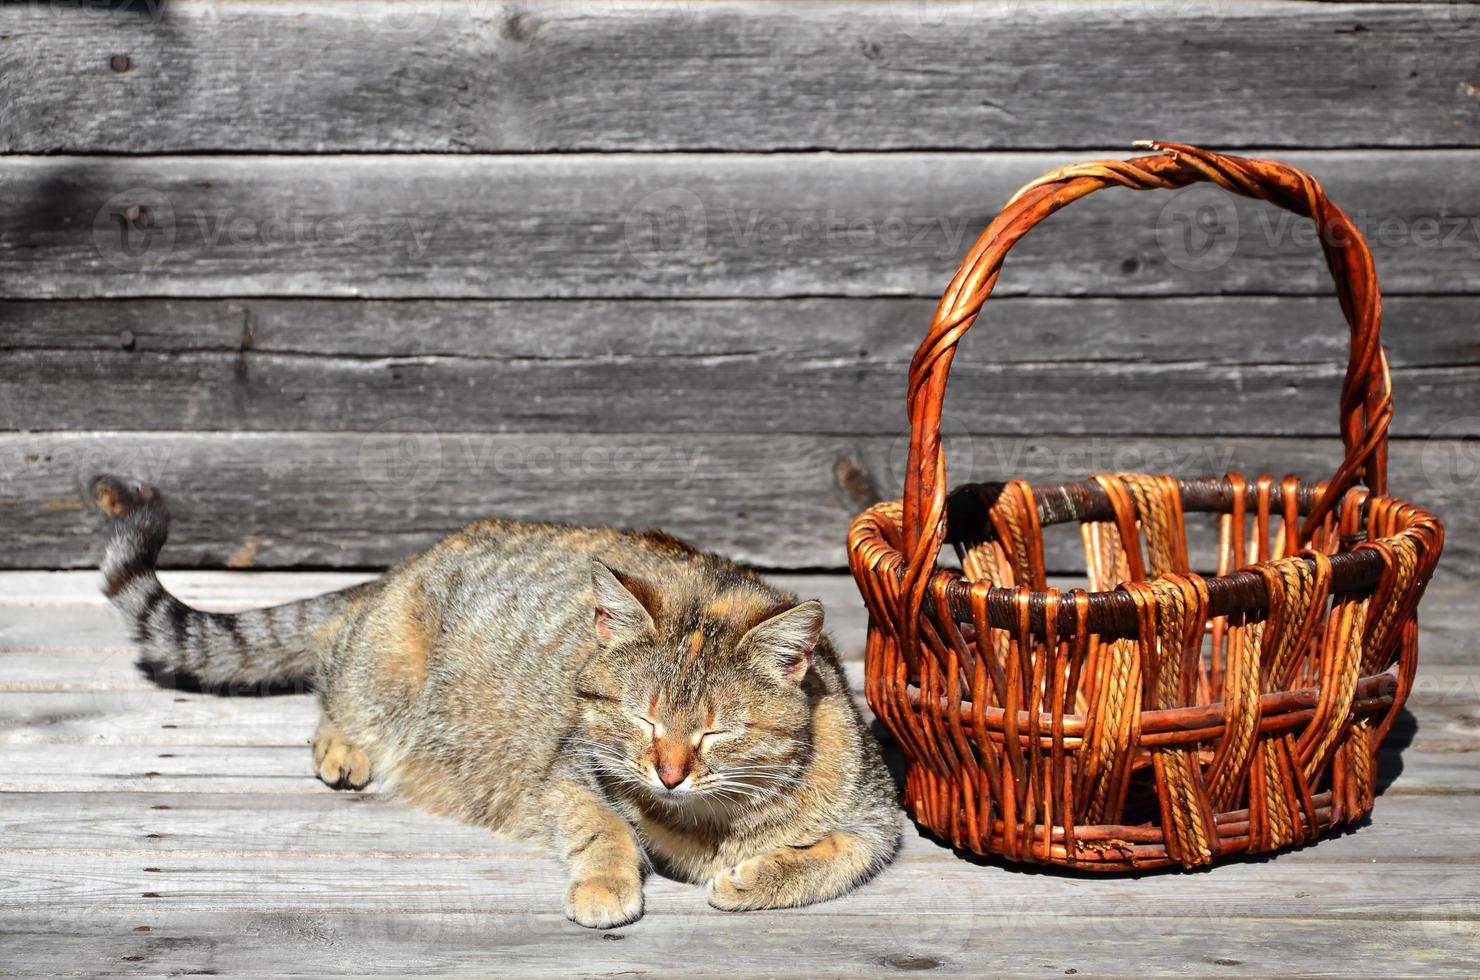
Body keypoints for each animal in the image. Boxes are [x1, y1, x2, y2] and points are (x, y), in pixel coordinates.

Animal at [95, 476, 899, 929]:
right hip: (385, 663)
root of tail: (403, 565)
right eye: (640, 716)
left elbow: (831, 855)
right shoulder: (569, 775)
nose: (668, 772)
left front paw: (760, 873)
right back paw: (342, 744)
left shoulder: (879, 819)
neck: (706, 822)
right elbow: (605, 830)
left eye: (716, 732)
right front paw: (607, 883)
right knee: (332, 671)